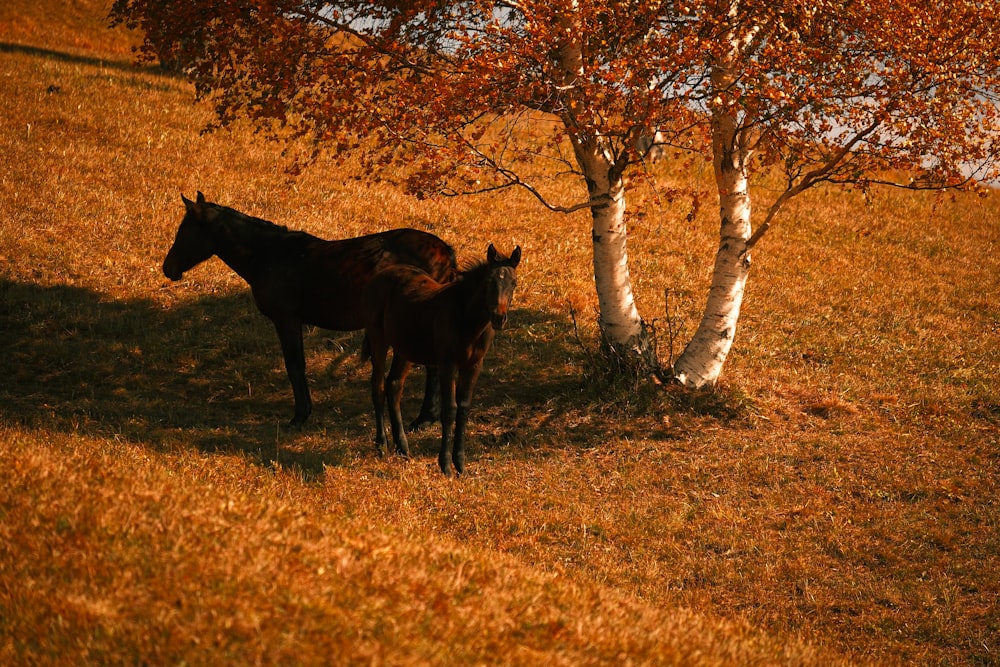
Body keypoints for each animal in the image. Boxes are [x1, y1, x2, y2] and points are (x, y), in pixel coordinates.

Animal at [163, 192, 458, 428]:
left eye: (184, 231)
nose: (168, 268)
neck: (271, 255)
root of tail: (444, 250)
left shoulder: (287, 320)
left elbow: (295, 365)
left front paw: (300, 416)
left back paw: (424, 419)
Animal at [368, 244, 524, 474]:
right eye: (489, 281)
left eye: (514, 283)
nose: (498, 318)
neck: (466, 320)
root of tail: (382, 274)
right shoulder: (447, 365)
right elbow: (449, 409)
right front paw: (445, 466)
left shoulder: (473, 365)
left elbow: (464, 409)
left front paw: (460, 464)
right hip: (378, 339)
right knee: (378, 386)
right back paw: (382, 445)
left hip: (404, 349)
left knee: (394, 386)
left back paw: (403, 448)